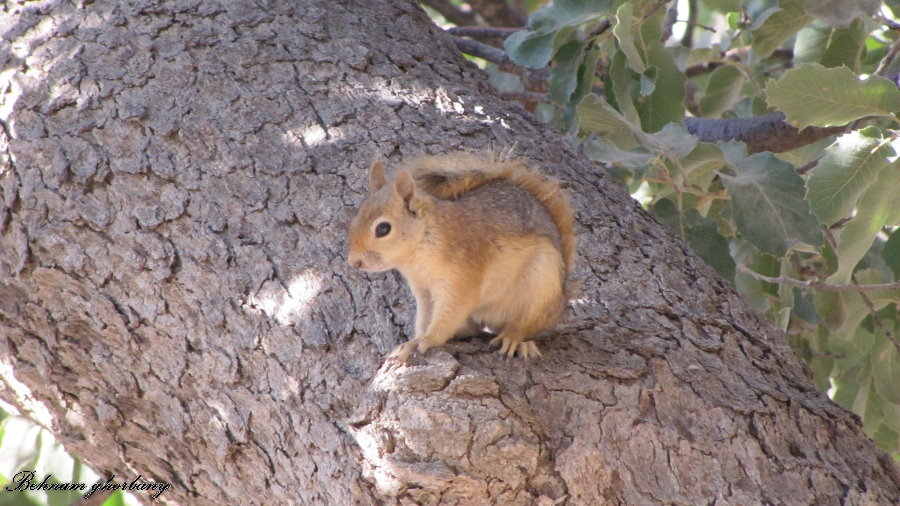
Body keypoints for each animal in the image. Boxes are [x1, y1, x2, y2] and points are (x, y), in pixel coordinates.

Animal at [347, 151, 576, 363]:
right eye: (355, 220)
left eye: (383, 228)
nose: (354, 262)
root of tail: (559, 303)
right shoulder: (423, 290)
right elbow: (425, 318)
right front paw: (414, 340)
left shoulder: (461, 278)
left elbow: (450, 312)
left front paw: (427, 340)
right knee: (474, 329)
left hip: (540, 285)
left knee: (524, 325)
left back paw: (513, 339)